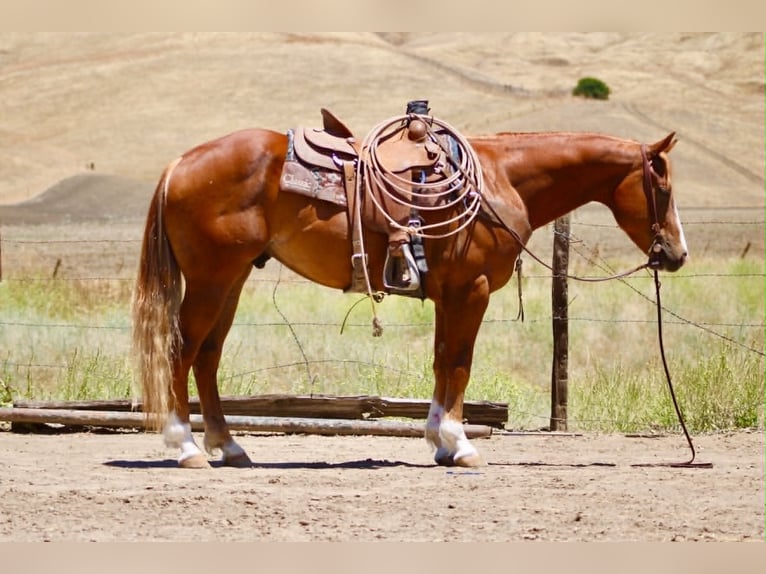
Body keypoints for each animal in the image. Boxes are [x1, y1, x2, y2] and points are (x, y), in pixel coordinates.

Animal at [131, 114, 688, 469]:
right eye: (662, 188)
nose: (676, 254)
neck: (499, 180)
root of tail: (180, 163)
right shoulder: (471, 290)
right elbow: (460, 363)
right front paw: (462, 446)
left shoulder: (451, 295)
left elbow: (443, 362)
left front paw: (439, 441)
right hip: (212, 279)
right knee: (181, 352)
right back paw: (187, 448)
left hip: (233, 279)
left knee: (207, 357)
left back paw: (230, 448)